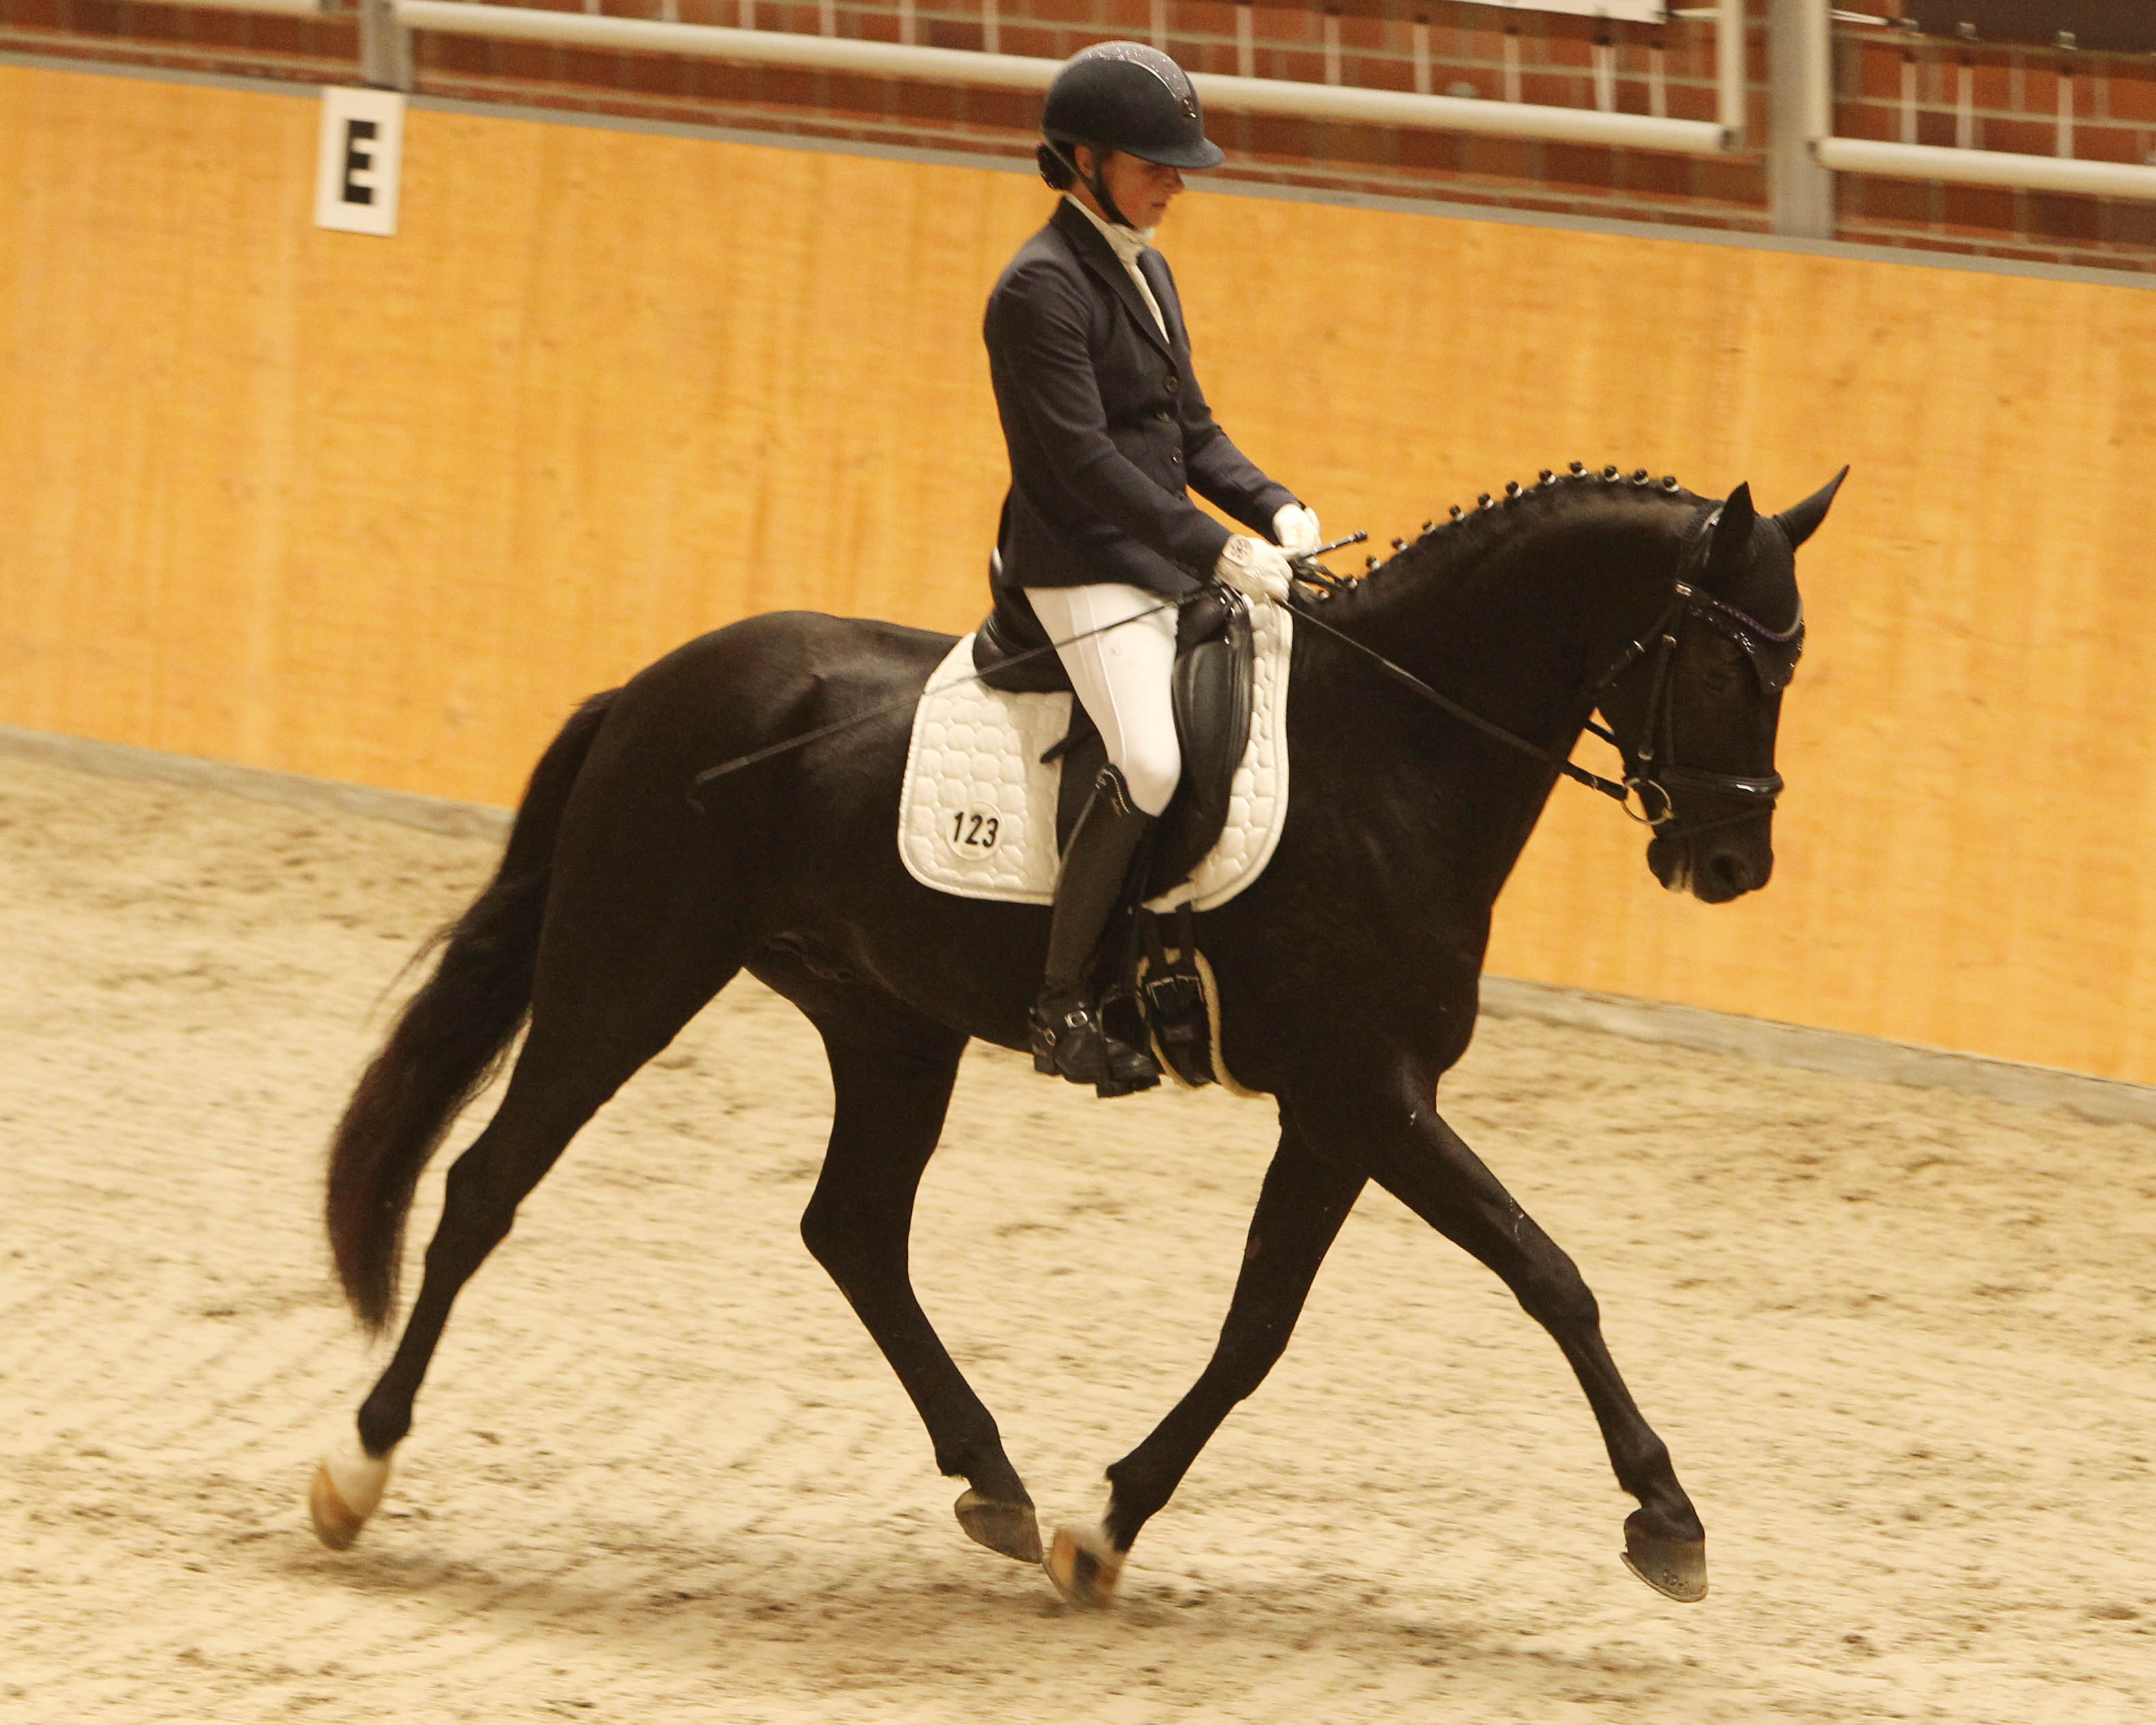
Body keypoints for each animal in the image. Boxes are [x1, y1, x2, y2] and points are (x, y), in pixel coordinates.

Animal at [312, 461, 1845, 1604]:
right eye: (1730, 661)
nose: (1734, 863)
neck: (1392, 755)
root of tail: (646, 687)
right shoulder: (1369, 1090)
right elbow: (1550, 1274)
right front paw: (1667, 1515)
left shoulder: (1340, 1110)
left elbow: (1258, 1324)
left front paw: (1103, 1527)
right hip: (630, 971)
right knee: (486, 1183)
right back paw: (357, 1469)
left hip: (886, 1023)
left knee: (852, 1227)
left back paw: (993, 1479)